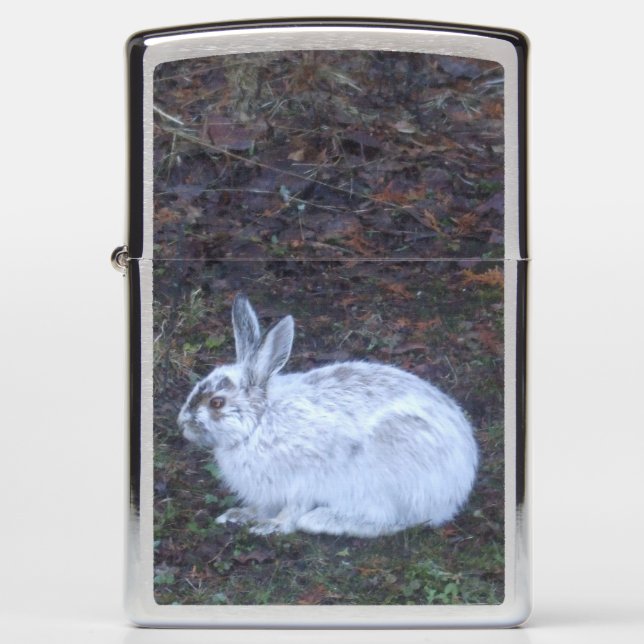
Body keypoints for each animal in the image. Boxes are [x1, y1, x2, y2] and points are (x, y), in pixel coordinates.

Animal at [178, 294, 478, 538]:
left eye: (217, 402)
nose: (182, 424)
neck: (260, 421)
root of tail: (461, 479)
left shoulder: (303, 479)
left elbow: (292, 510)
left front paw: (271, 527)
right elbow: (261, 506)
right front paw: (238, 516)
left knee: (398, 520)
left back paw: (325, 520)